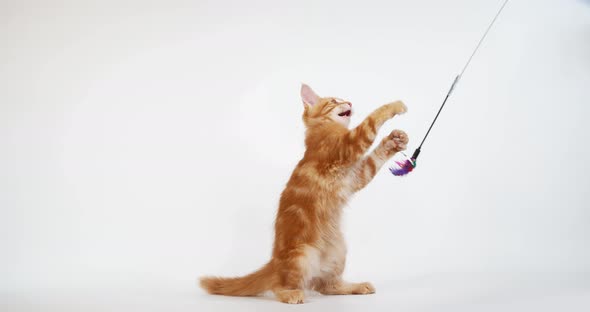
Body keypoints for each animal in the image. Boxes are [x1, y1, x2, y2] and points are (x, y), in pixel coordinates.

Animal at [201, 84, 410, 304]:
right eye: (334, 101)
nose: (350, 102)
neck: (324, 127)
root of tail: (274, 263)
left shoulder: (357, 175)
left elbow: (375, 158)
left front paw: (396, 140)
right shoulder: (347, 146)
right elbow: (371, 120)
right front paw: (395, 105)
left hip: (339, 250)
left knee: (326, 286)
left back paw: (357, 286)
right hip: (303, 254)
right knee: (279, 286)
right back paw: (291, 294)